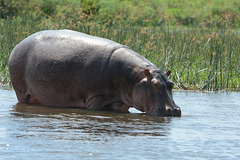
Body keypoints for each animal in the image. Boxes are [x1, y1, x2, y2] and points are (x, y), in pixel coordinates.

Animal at [8, 29, 181, 116]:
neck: (135, 78)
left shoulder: (121, 104)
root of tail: (18, 44)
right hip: (20, 90)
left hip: (38, 94)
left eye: (171, 83)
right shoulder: (95, 97)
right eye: (155, 84)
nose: (173, 110)